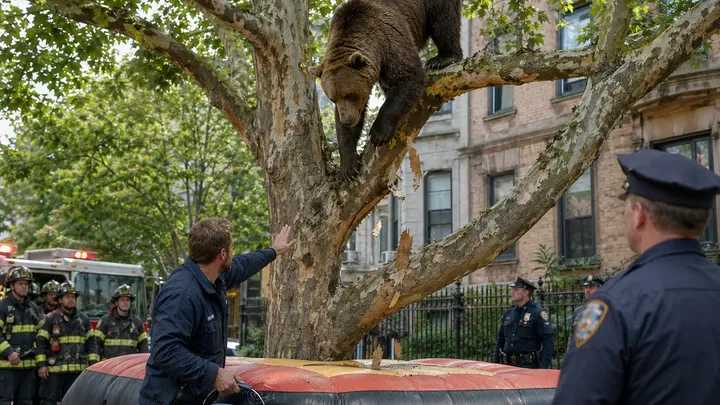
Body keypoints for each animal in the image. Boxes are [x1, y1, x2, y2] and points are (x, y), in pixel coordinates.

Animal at [309, 0, 463, 181]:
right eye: (333, 98)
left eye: (349, 94)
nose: (347, 120)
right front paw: (348, 166)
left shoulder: (389, 39)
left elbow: (408, 77)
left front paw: (378, 132)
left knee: (443, 19)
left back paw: (443, 58)